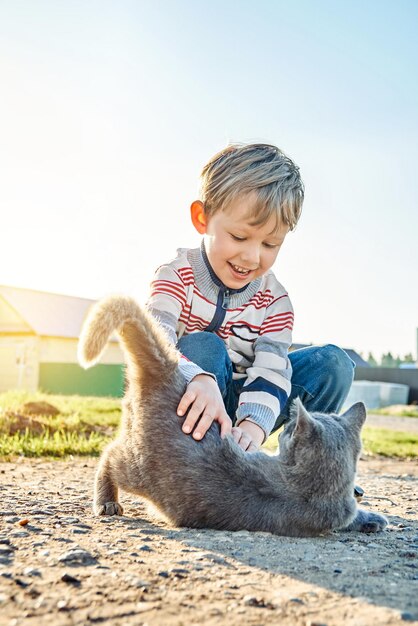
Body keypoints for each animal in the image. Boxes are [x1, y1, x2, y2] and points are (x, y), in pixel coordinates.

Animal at [79, 294, 388, 532]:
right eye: (288, 430)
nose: (287, 425)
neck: (307, 486)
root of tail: (168, 372)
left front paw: (372, 518)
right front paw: (372, 517)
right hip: (136, 465)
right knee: (107, 457)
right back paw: (106, 502)